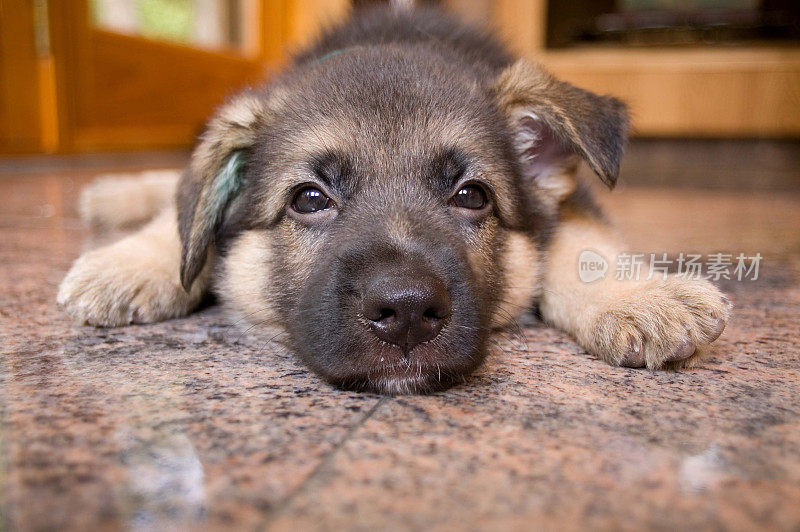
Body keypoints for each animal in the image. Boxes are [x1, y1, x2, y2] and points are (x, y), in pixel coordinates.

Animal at [56, 4, 732, 394]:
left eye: (472, 196)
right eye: (308, 199)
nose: (406, 313)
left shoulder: (574, 197)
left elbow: (582, 242)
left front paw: (639, 297)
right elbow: (184, 216)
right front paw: (133, 262)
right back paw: (115, 193)